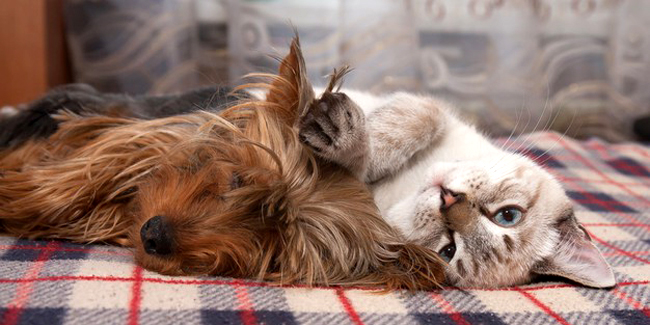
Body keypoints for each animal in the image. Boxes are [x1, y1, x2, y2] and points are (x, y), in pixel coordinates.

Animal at [0, 37, 446, 288]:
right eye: (236, 179)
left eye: (274, 247)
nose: (153, 237)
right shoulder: (147, 138)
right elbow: (85, 172)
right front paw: (26, 196)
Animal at [298, 88, 612, 286]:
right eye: (508, 215)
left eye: (449, 250)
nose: (448, 200)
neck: (409, 187)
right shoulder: (439, 114)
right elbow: (423, 118)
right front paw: (360, 133)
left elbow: (356, 166)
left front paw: (350, 143)